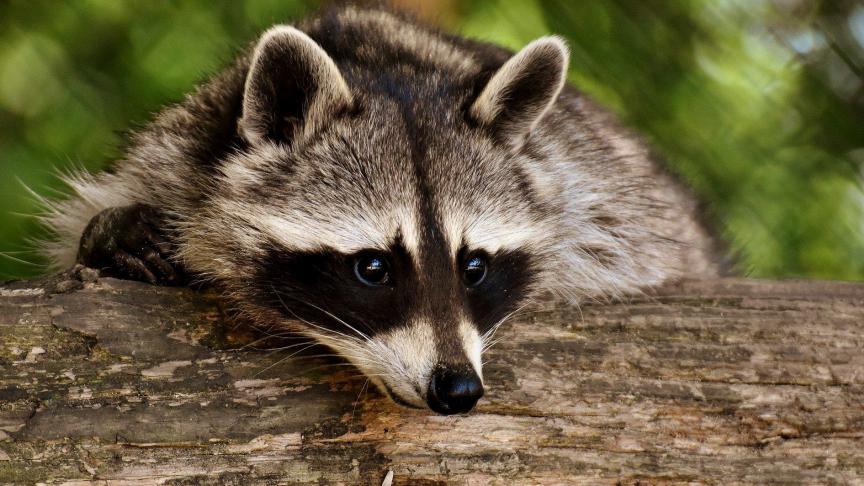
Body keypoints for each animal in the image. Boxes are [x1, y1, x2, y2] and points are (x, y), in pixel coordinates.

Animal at [41, 5, 720, 415]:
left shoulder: (597, 194)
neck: (383, 64)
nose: (458, 389)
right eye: (373, 268)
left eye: (474, 267)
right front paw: (112, 234)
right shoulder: (173, 152)